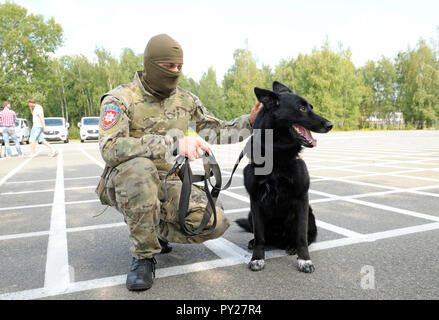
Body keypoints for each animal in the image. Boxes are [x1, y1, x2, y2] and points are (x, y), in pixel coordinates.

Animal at [237, 80, 334, 272]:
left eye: (311, 107)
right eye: (302, 108)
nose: (330, 125)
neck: (277, 153)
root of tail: (278, 240)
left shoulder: (301, 199)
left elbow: (302, 237)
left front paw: (304, 260)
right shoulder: (255, 200)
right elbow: (260, 236)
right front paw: (257, 258)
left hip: (309, 214)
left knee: (307, 236)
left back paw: (291, 246)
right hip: (252, 214)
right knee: (264, 236)